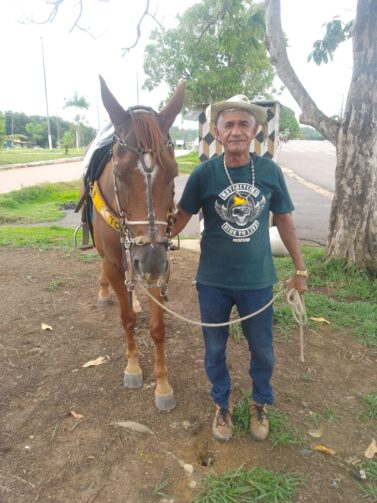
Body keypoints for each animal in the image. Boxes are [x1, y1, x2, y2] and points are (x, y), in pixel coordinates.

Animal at [91, 77, 185, 412]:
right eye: (118, 173)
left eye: (174, 173)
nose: (150, 260)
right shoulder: (114, 261)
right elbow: (127, 319)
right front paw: (132, 368)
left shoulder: (161, 267)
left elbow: (158, 328)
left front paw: (163, 385)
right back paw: (107, 292)